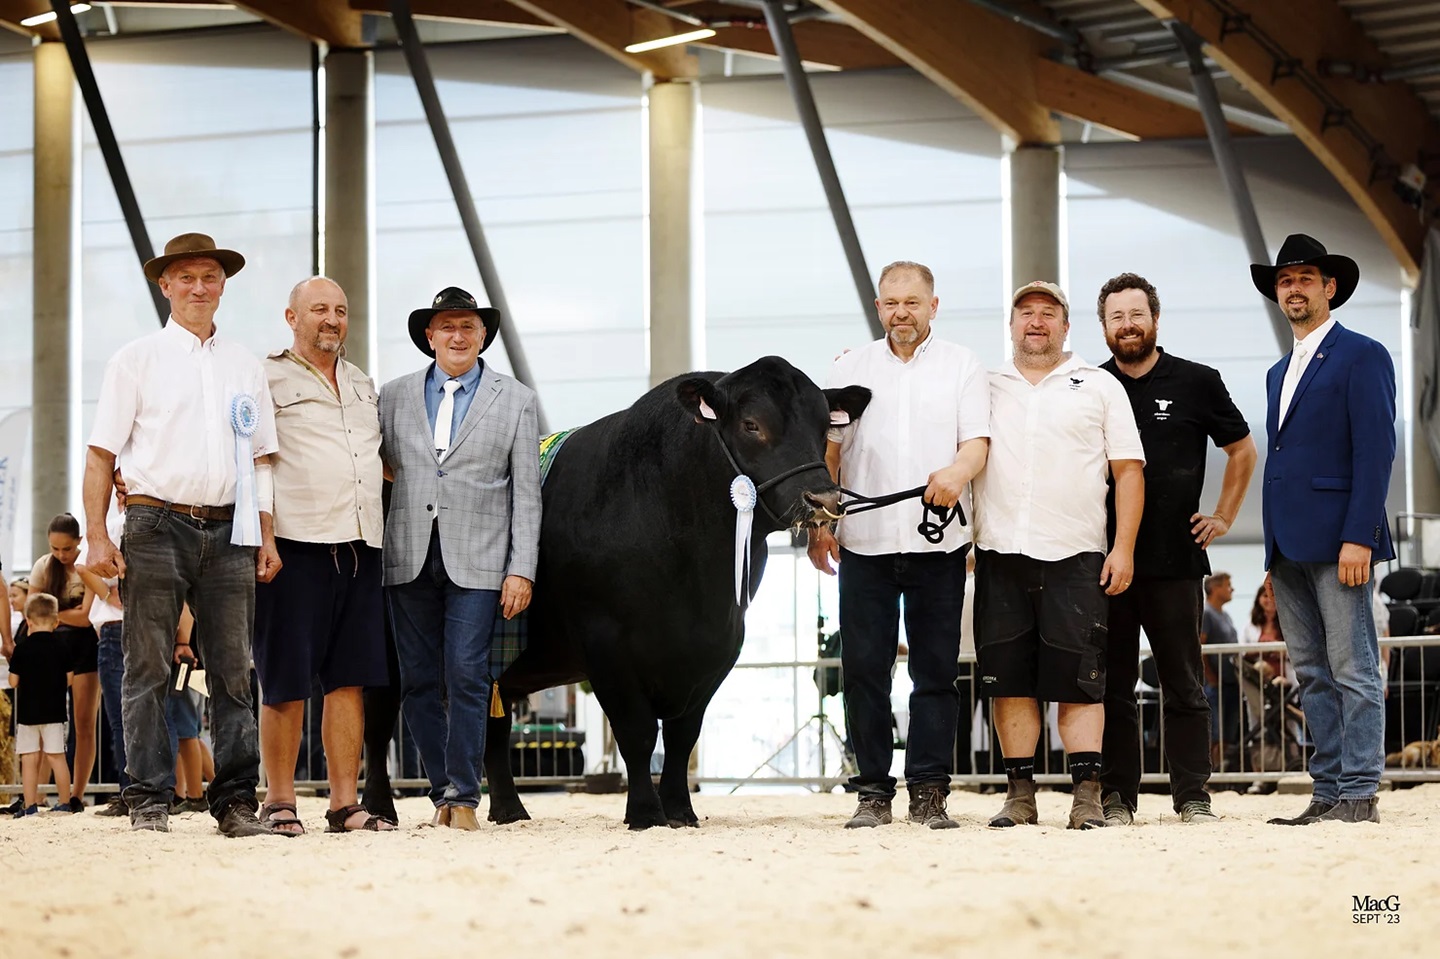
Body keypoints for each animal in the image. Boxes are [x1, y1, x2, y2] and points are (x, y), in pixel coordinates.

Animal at [365, 354, 869, 823]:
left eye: (824, 425)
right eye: (751, 425)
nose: (822, 499)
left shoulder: (719, 647)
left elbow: (682, 736)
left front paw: (680, 812)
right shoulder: (607, 646)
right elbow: (638, 733)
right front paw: (645, 814)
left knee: (492, 724)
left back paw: (510, 811)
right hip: (389, 649)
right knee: (378, 722)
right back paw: (379, 810)